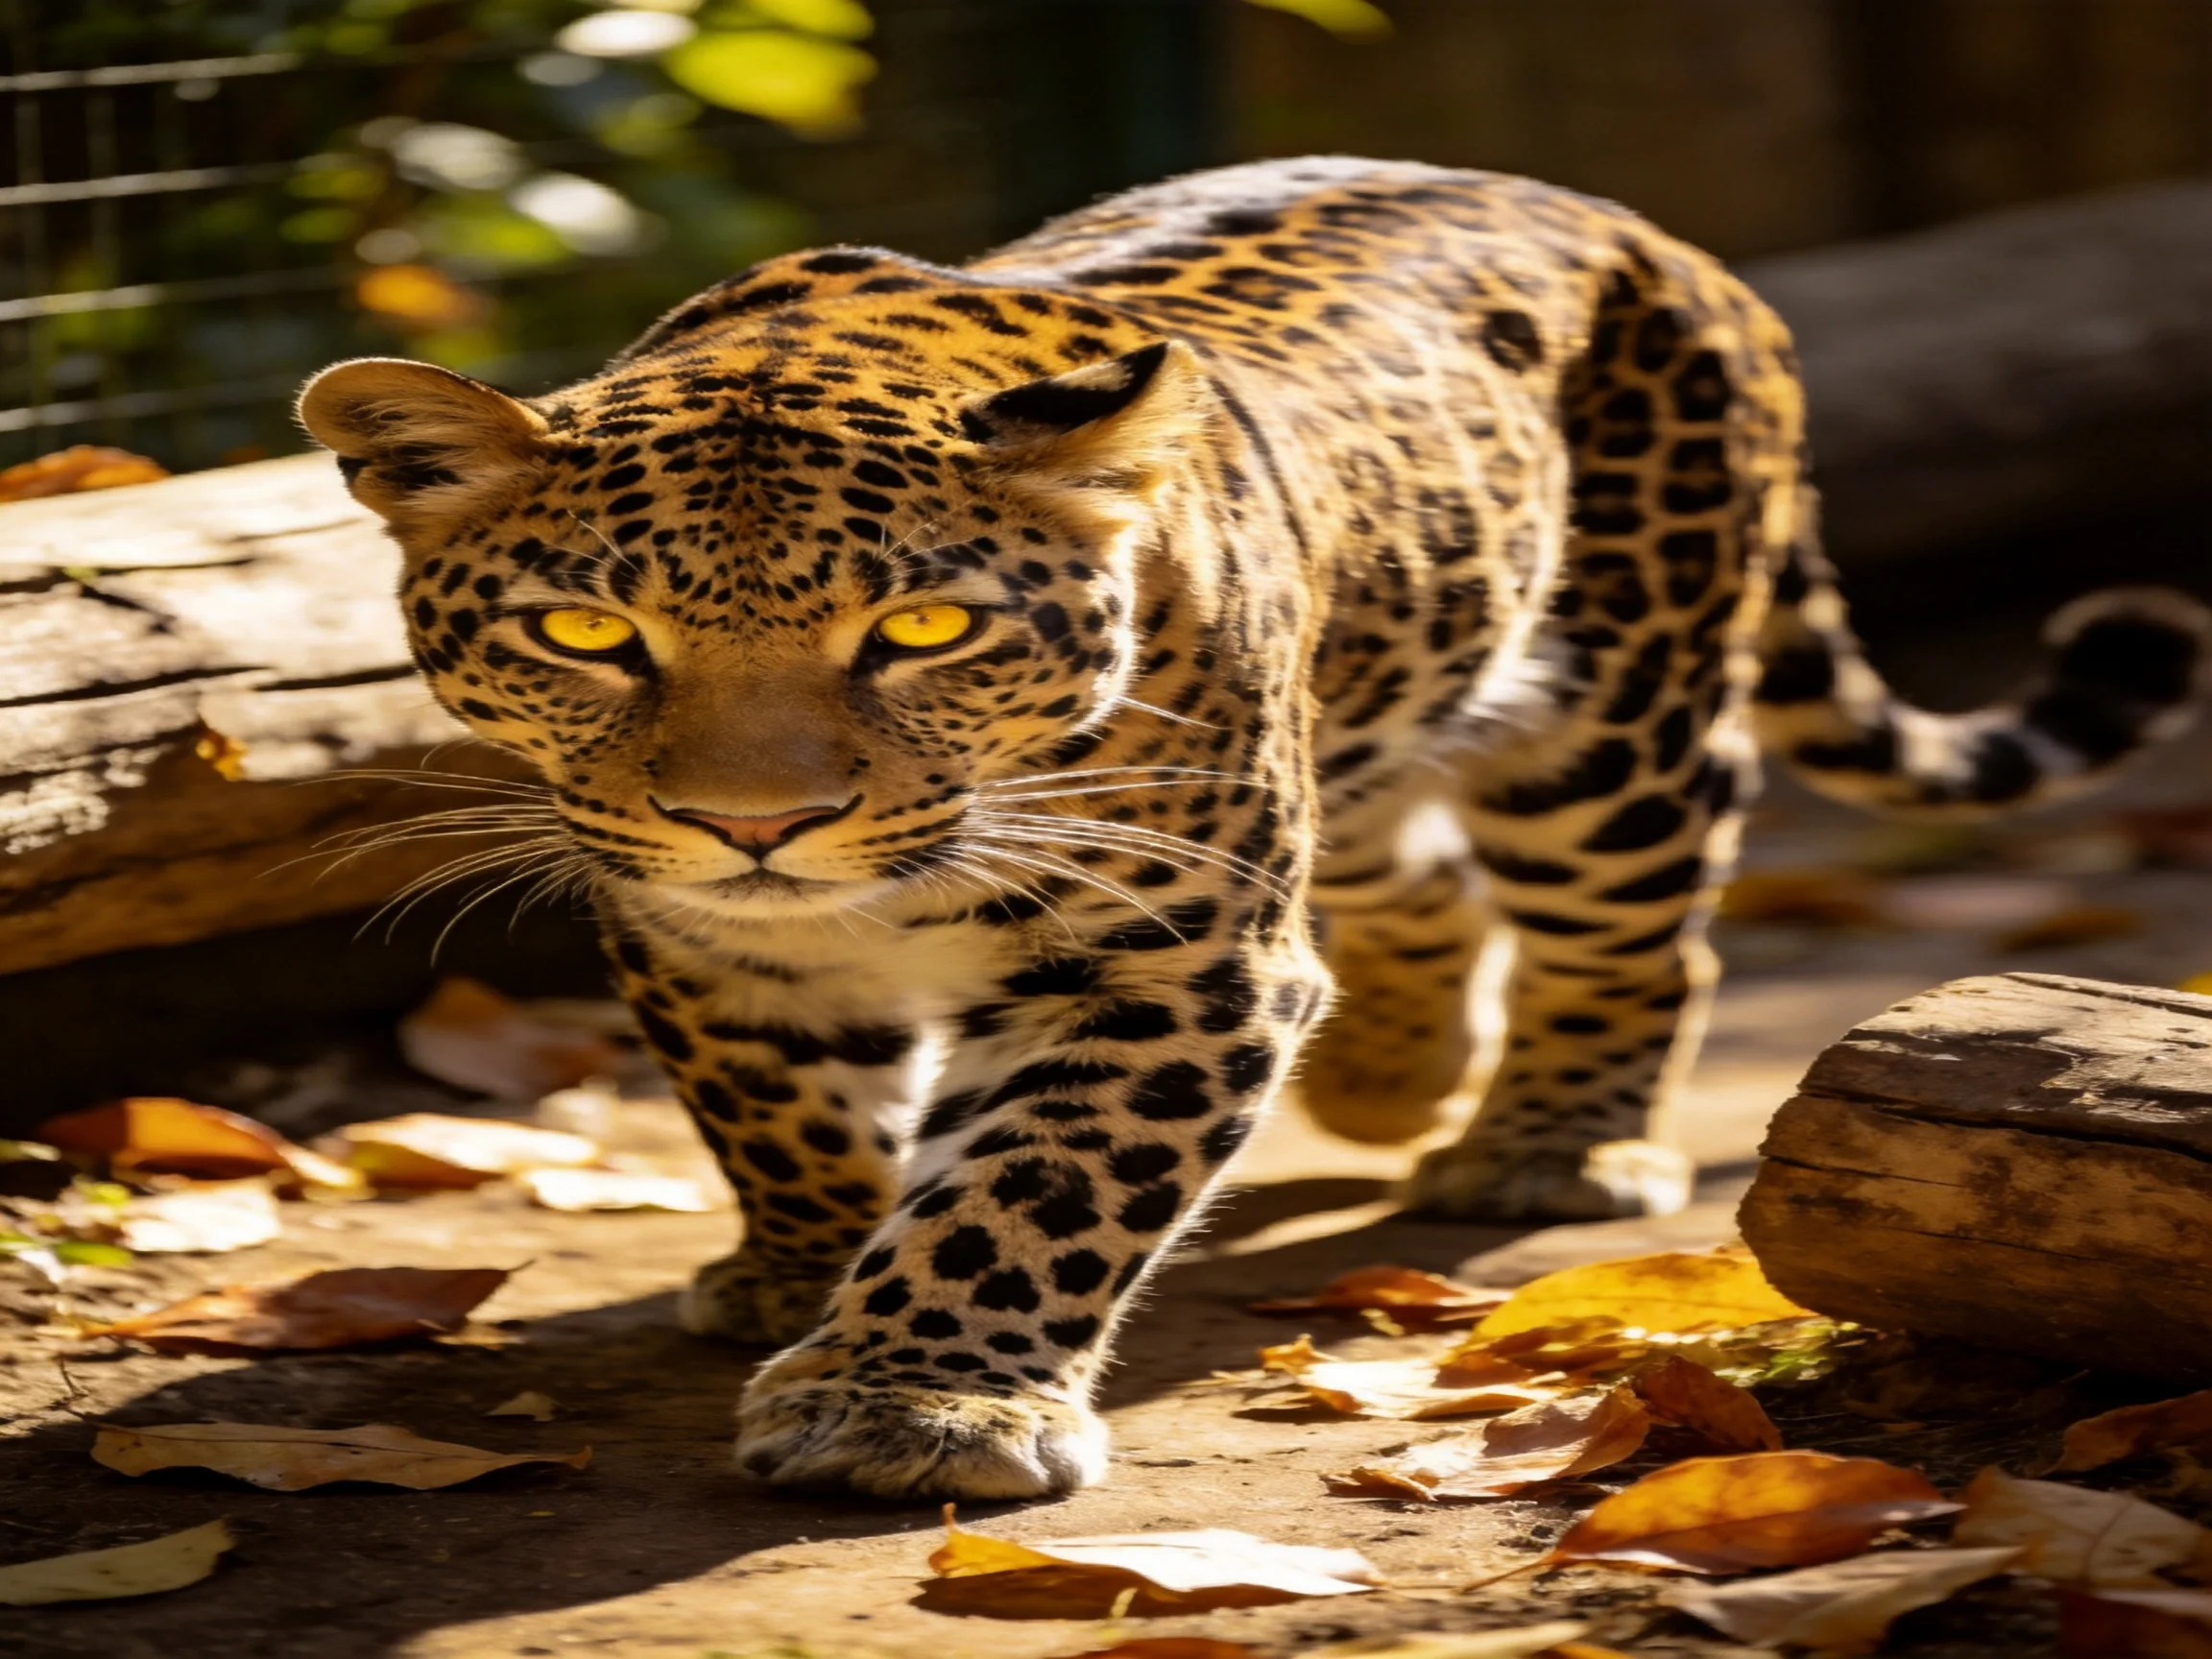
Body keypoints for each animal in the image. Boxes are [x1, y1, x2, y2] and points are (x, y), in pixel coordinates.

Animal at [300, 157, 2209, 1503]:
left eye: (923, 630)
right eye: (583, 634)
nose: (754, 823)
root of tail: (1625, 221)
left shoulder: (1171, 958)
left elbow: (1033, 1185)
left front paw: (917, 1396)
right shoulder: (691, 936)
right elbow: (774, 1112)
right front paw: (802, 1274)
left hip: (1616, 720)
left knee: (1634, 928)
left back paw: (1550, 1140)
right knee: (1405, 868)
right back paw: (1387, 1071)